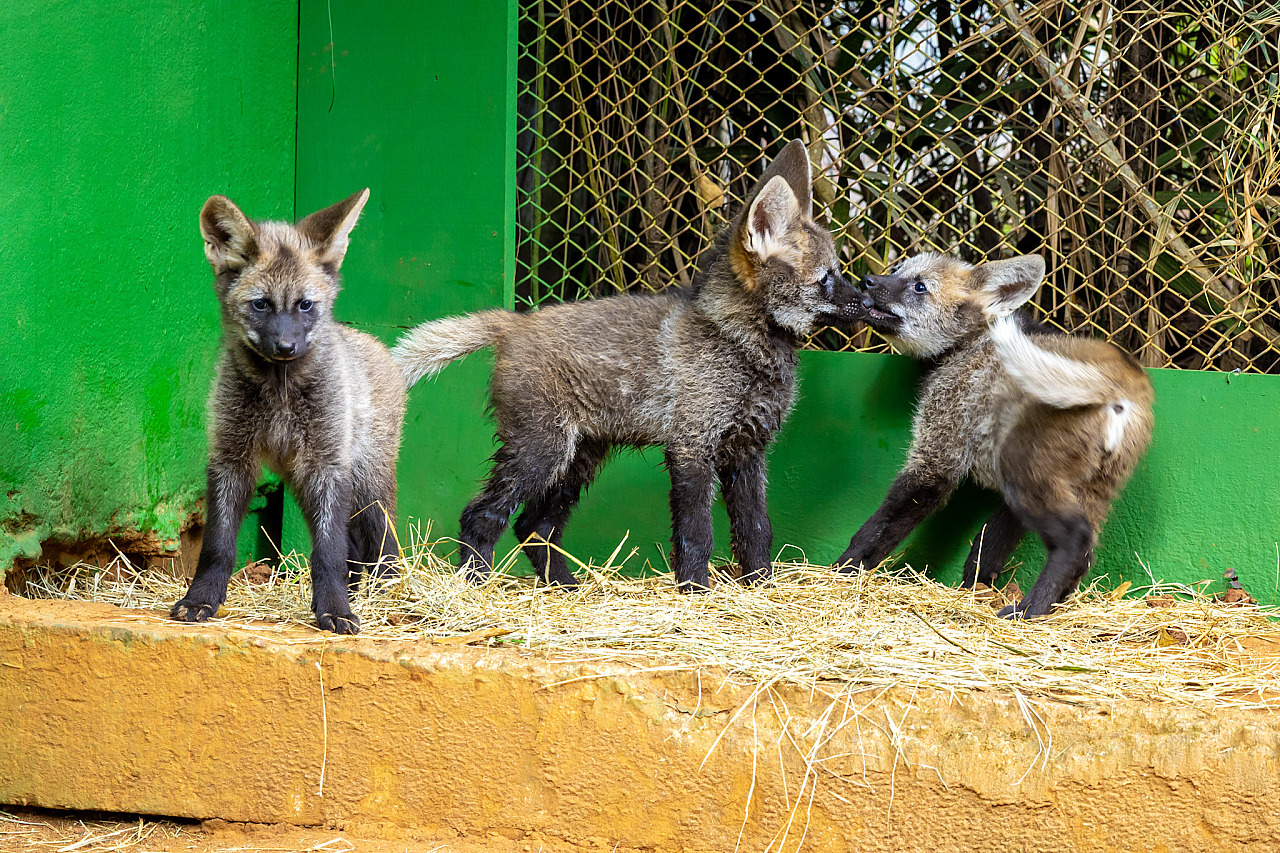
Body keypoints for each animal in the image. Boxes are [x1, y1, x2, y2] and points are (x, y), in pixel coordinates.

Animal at [171, 189, 406, 634]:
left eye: (305, 305)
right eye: (261, 305)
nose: (285, 347)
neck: (279, 396)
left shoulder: (327, 466)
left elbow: (327, 552)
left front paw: (335, 609)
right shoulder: (231, 458)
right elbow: (217, 546)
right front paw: (201, 600)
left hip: (364, 483)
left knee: (382, 541)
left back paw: (386, 589)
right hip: (302, 481)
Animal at [392, 140, 862, 590]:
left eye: (838, 273)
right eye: (827, 279)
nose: (868, 297)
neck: (739, 344)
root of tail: (513, 321)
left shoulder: (748, 451)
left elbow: (756, 531)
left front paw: (760, 589)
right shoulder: (691, 446)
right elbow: (697, 535)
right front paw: (696, 594)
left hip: (578, 460)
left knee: (534, 526)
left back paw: (566, 589)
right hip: (541, 452)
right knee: (482, 516)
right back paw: (473, 585)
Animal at [836, 252, 1153, 618]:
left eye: (920, 287)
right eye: (896, 269)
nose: (866, 280)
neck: (965, 347)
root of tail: (1124, 374)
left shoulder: (937, 456)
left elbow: (878, 527)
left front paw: (839, 571)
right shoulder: (1008, 495)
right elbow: (986, 548)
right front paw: (974, 591)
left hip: (1027, 474)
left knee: (1075, 541)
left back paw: (1029, 610)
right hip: (1088, 488)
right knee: (1086, 552)